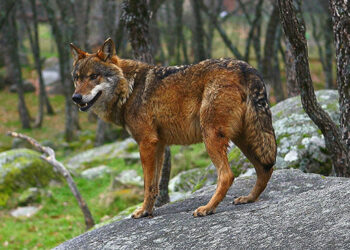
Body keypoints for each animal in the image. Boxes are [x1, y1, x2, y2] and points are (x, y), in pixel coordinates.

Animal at [69, 38, 276, 218]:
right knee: (265, 168)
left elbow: (147, 185)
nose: (76, 98)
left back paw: (208, 208)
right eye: (77, 78)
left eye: (94, 76)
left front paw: (143, 211)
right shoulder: (158, 145)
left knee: (227, 175)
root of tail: (246, 68)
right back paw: (249, 198)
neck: (129, 88)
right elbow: (154, 185)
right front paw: (147, 211)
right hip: (243, 138)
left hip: (211, 137)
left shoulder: (146, 143)